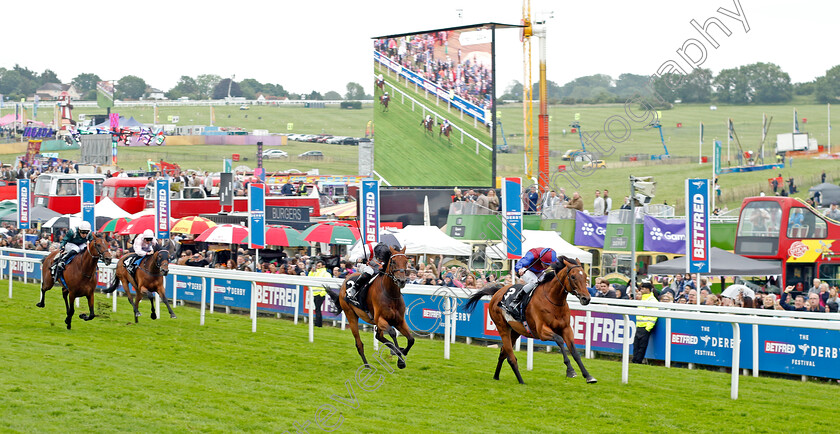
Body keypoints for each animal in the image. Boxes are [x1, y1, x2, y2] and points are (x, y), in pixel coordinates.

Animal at [462, 256, 592, 384]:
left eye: (585, 276)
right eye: (573, 277)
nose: (586, 298)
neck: (553, 301)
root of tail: (498, 292)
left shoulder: (566, 329)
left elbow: (575, 352)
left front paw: (588, 376)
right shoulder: (541, 331)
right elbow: (559, 340)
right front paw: (570, 370)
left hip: (515, 331)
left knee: (503, 352)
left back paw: (497, 376)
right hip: (502, 327)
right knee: (510, 357)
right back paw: (521, 381)